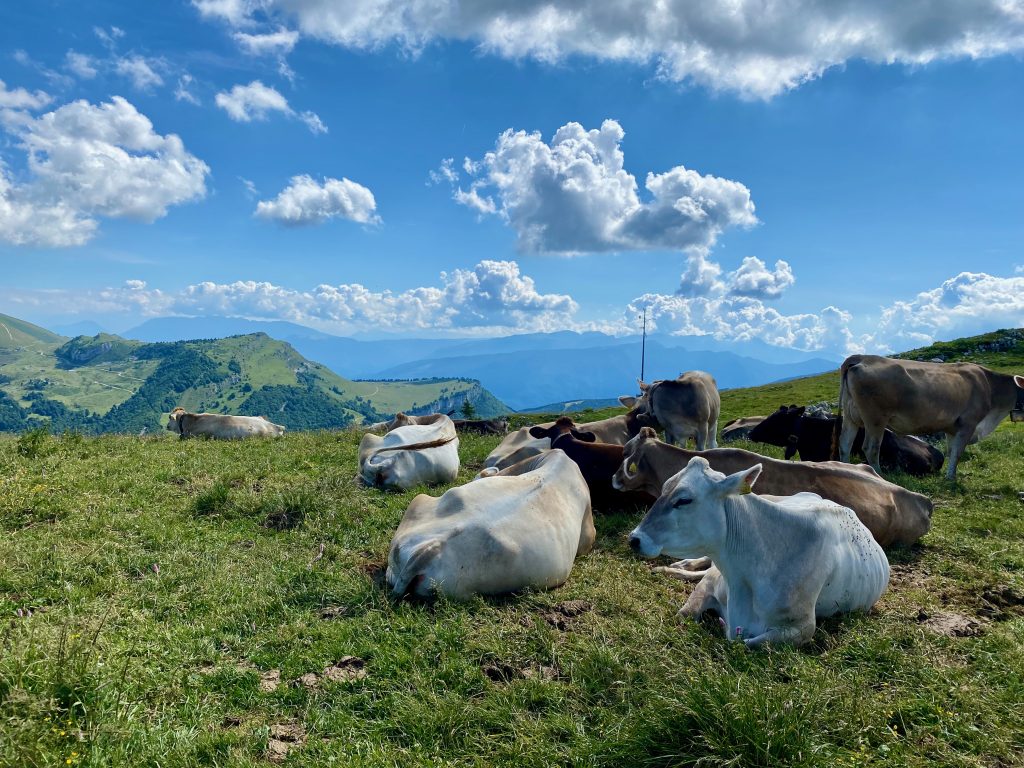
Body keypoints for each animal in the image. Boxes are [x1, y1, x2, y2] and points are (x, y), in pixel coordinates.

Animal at [622, 456, 888, 651]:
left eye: (684, 500)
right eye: (664, 488)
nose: (635, 539)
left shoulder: (802, 627)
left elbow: (742, 643)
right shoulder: (709, 584)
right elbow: (683, 614)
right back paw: (677, 566)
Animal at [839, 356, 1024, 481]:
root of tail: (861, 357)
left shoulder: (952, 428)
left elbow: (951, 451)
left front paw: (949, 475)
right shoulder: (969, 423)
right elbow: (958, 452)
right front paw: (951, 479)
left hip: (850, 417)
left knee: (844, 445)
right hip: (875, 417)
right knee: (871, 447)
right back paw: (879, 475)